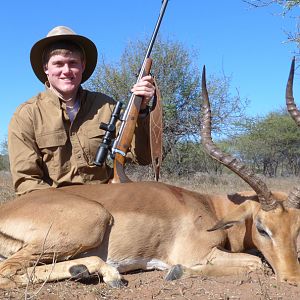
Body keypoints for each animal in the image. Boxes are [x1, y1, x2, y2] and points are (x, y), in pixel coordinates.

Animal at [0, 61, 298, 288]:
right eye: (261, 227)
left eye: (297, 229)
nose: (292, 278)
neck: (210, 207)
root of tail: (7, 211)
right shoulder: (199, 253)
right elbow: (256, 263)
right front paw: (174, 272)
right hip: (90, 224)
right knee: (7, 273)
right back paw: (108, 274)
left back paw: (83, 271)